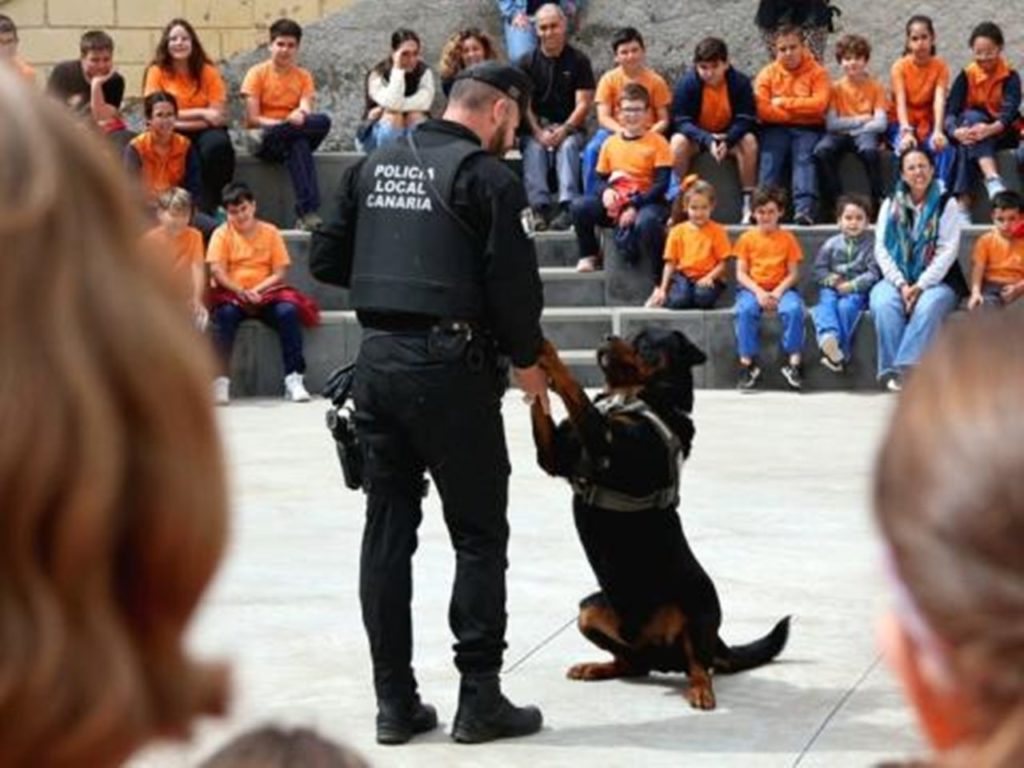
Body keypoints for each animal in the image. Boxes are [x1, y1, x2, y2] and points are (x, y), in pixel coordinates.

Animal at [532, 327, 786, 712]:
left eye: (645, 341)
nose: (607, 335)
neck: (629, 395)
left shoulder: (605, 445)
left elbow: (575, 389)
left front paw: (548, 354)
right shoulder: (554, 455)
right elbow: (545, 411)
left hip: (699, 604)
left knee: (700, 664)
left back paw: (701, 690)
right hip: (589, 609)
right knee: (633, 663)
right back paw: (596, 667)